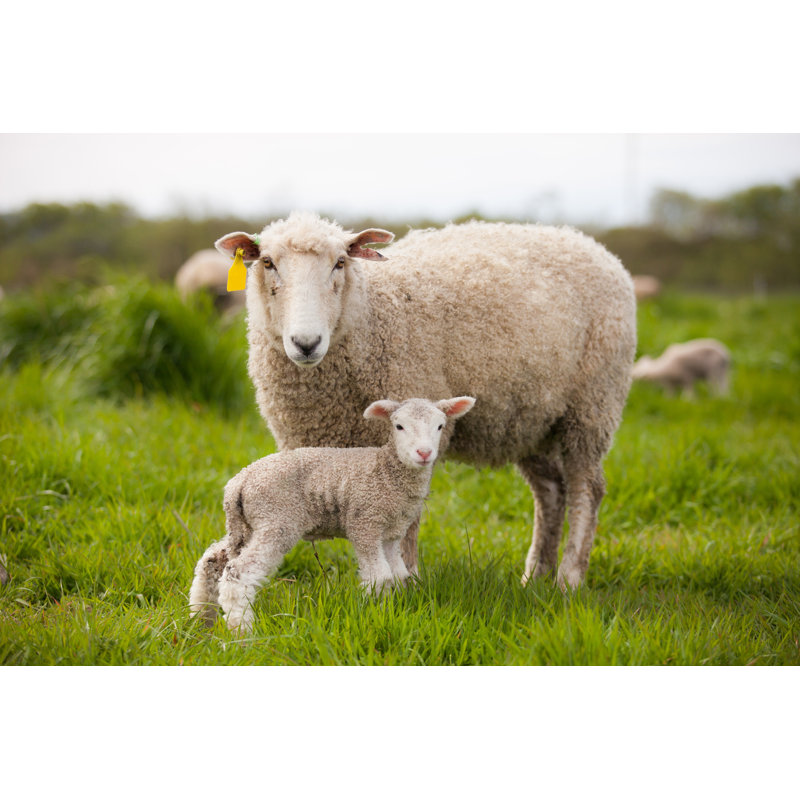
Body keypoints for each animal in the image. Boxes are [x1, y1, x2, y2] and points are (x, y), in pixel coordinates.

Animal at [189, 395, 475, 631]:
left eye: (440, 426)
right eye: (399, 427)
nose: (424, 453)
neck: (387, 471)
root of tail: (239, 482)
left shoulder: (391, 533)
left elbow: (398, 575)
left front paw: (392, 611)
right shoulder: (365, 522)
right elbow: (380, 576)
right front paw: (372, 616)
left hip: (247, 525)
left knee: (211, 560)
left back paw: (201, 618)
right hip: (276, 519)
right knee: (237, 573)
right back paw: (242, 632)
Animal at [214, 212, 637, 590]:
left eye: (340, 263)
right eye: (267, 263)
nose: (306, 343)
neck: (370, 317)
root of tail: (592, 245)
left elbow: (406, 524)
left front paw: (408, 583)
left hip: (593, 403)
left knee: (587, 488)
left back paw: (569, 580)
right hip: (528, 417)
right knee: (550, 490)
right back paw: (535, 577)